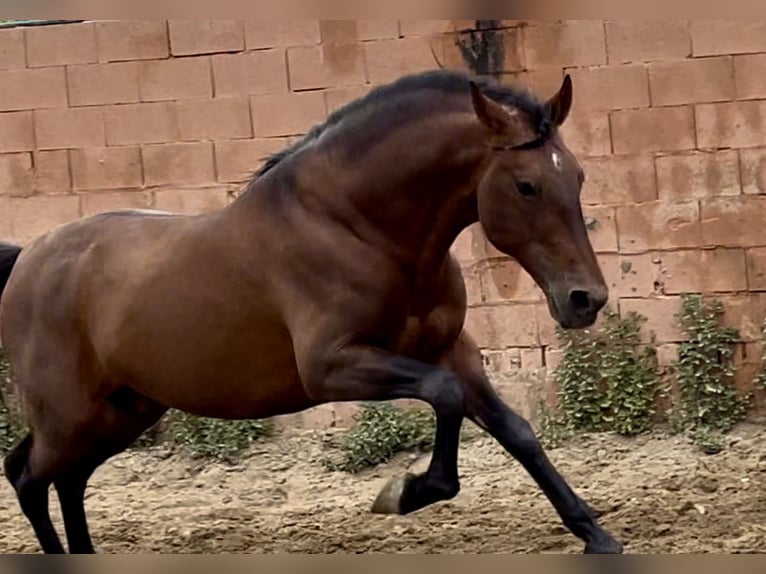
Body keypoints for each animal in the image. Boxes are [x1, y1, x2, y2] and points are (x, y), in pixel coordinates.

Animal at [0, 68, 622, 554]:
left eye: (579, 175)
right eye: (526, 186)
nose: (585, 300)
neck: (356, 227)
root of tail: (29, 256)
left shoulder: (452, 349)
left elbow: (516, 431)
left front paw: (597, 536)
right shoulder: (332, 367)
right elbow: (442, 394)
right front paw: (404, 493)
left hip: (123, 411)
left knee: (66, 480)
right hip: (71, 416)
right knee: (29, 476)